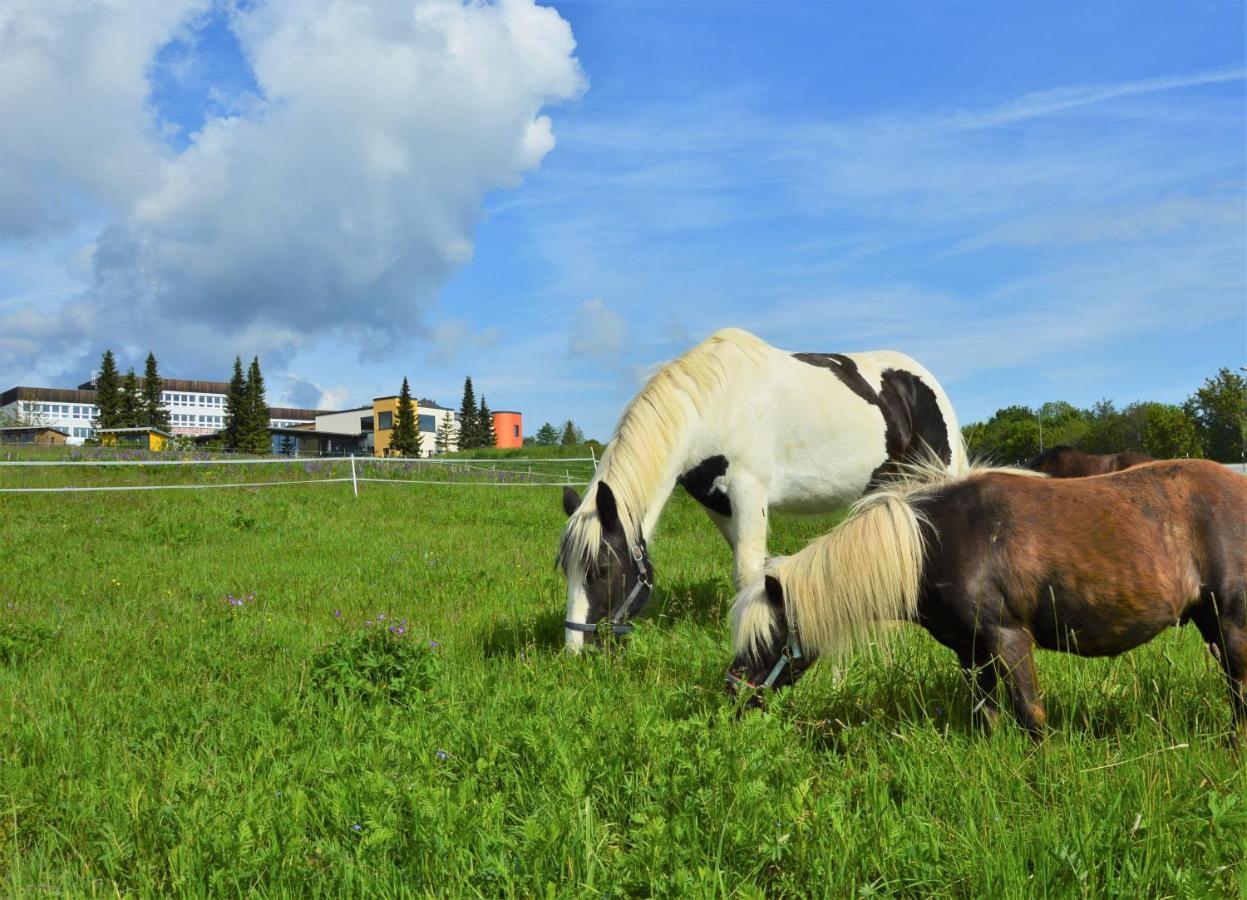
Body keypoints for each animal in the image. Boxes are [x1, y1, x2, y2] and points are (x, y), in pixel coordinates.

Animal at [561, 326, 967, 648]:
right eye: (566, 569)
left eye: (600, 569)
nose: (575, 648)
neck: (712, 404)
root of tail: (925, 381)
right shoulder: (717, 503)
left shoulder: (748, 492)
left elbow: (748, 568)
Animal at [728, 463, 1247, 737]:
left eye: (768, 635)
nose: (733, 691)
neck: (936, 544)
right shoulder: (970, 650)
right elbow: (988, 716)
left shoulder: (1008, 637)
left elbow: (1030, 714)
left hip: (1232, 625)